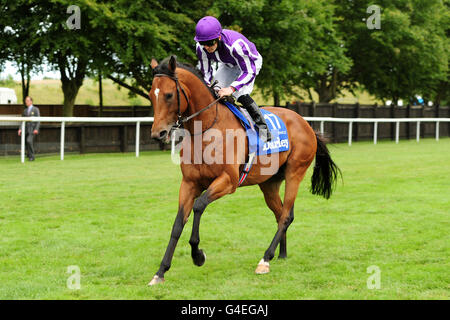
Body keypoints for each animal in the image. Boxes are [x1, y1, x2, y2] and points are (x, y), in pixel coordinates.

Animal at [146, 55, 340, 284]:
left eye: (168, 95)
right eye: (151, 95)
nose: (158, 133)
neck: (207, 129)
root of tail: (306, 124)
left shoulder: (228, 181)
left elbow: (199, 206)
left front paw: (198, 255)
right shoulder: (189, 183)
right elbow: (177, 223)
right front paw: (160, 272)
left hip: (295, 172)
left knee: (286, 216)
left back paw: (265, 260)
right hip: (269, 183)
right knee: (280, 213)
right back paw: (281, 254)